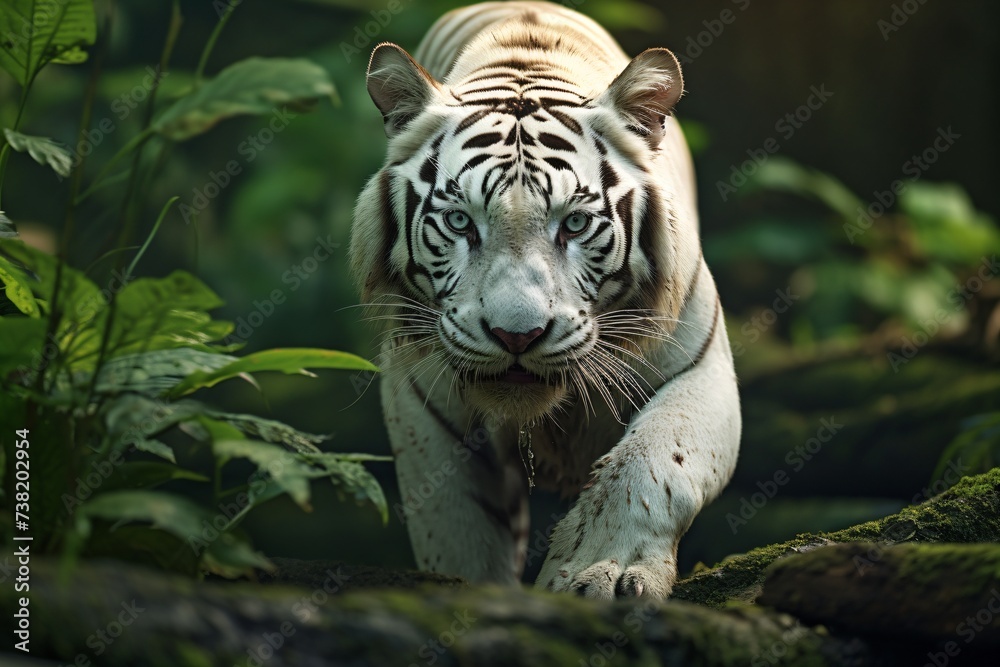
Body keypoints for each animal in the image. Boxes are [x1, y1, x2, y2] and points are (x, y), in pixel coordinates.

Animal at [350, 0, 741, 599]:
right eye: (460, 222)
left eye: (574, 224)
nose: (517, 336)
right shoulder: (420, 401)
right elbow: (456, 528)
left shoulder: (702, 368)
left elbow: (651, 461)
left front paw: (601, 572)